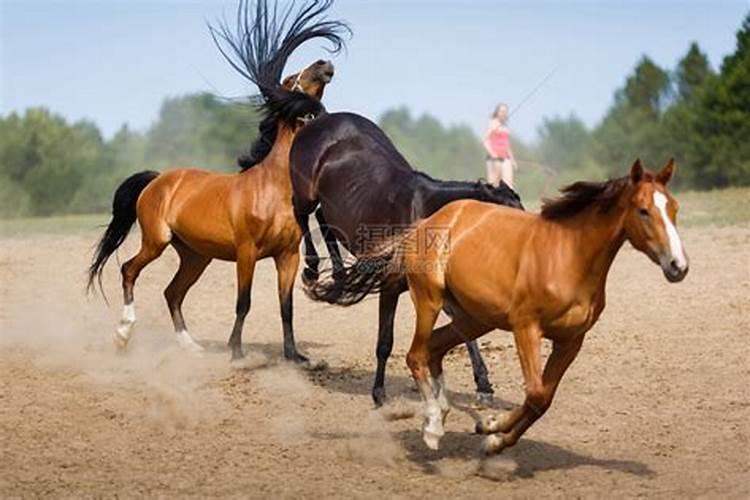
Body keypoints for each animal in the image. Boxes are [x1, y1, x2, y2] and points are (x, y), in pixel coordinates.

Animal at [89, 1, 350, 366]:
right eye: (289, 80)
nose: (324, 64)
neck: (274, 188)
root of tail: (158, 180)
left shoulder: (287, 257)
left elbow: (286, 307)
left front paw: (294, 356)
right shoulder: (246, 253)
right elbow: (244, 302)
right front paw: (236, 352)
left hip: (196, 256)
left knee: (172, 292)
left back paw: (191, 346)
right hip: (156, 241)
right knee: (129, 271)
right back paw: (123, 333)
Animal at [288, 111, 524, 404]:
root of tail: (321, 119)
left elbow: (463, 328)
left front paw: (484, 387)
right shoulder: (390, 286)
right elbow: (385, 341)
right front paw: (379, 394)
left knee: (323, 219)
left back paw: (339, 278)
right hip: (306, 192)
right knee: (301, 213)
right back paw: (311, 269)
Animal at [308, 159, 692, 454]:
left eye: (674, 208)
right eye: (643, 211)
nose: (678, 266)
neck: (568, 258)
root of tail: (424, 224)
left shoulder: (571, 341)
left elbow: (543, 399)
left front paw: (492, 433)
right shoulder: (527, 329)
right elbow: (535, 394)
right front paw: (492, 430)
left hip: (474, 317)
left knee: (435, 349)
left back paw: (444, 410)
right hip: (431, 300)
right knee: (416, 355)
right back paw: (432, 426)